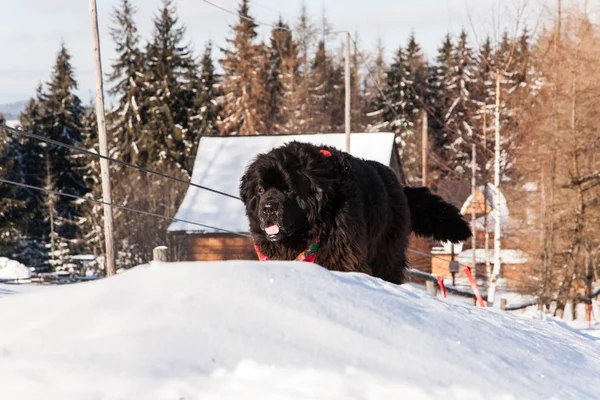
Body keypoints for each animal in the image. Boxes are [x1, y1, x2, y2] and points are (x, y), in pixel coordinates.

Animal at [238, 141, 468, 284]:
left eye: (288, 190)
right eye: (260, 190)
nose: (268, 208)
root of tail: (399, 185)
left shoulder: (342, 255)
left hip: (387, 251)